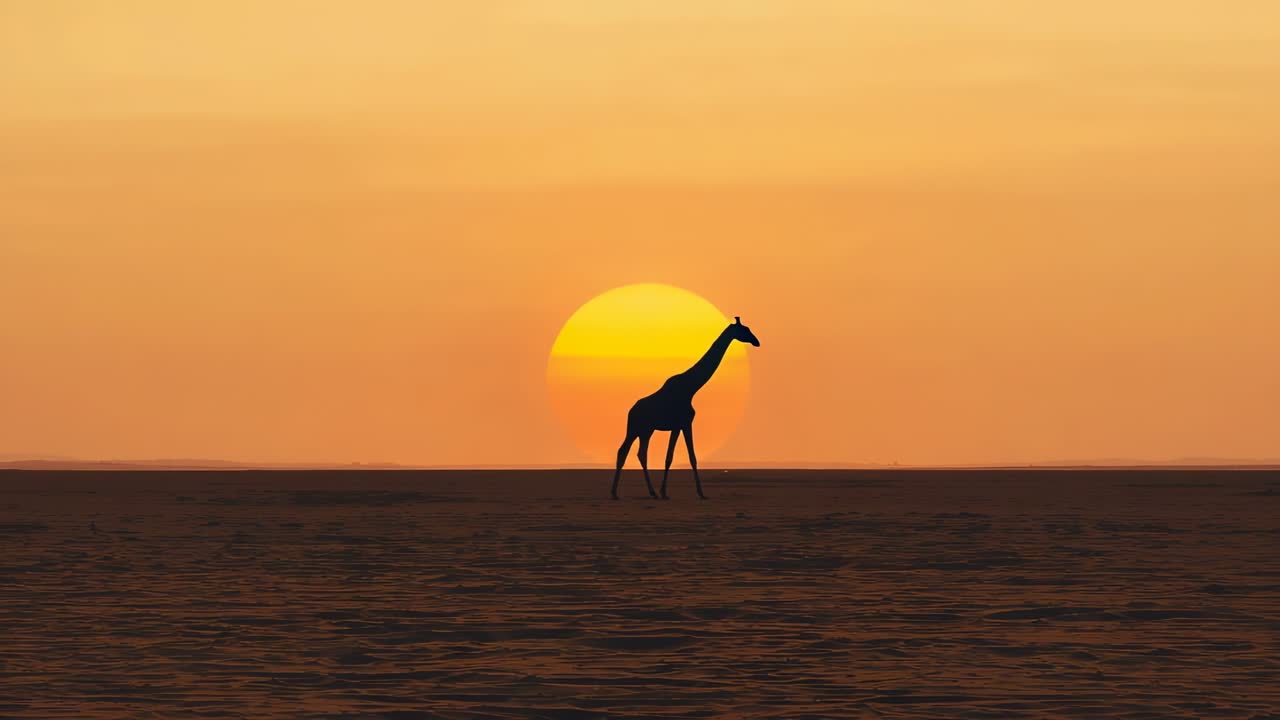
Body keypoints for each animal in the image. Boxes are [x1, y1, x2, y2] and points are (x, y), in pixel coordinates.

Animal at [611, 316, 761, 500]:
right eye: (745, 329)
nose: (756, 341)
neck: (691, 388)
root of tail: (630, 411)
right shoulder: (685, 423)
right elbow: (687, 457)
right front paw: (700, 493)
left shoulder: (678, 425)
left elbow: (672, 457)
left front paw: (664, 492)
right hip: (634, 428)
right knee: (623, 451)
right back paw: (615, 493)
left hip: (647, 430)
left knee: (641, 454)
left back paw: (651, 492)